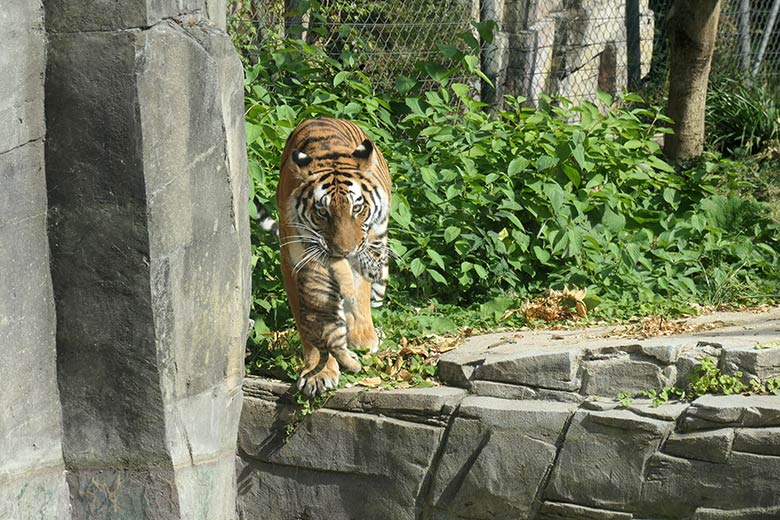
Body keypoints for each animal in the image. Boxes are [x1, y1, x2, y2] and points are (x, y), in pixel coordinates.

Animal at [277, 117, 392, 396]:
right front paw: (320, 373)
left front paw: (360, 337)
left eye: (357, 208)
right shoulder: (294, 262)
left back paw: (363, 336)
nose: (344, 251)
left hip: (376, 239)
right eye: (322, 212)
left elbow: (359, 292)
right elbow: (311, 320)